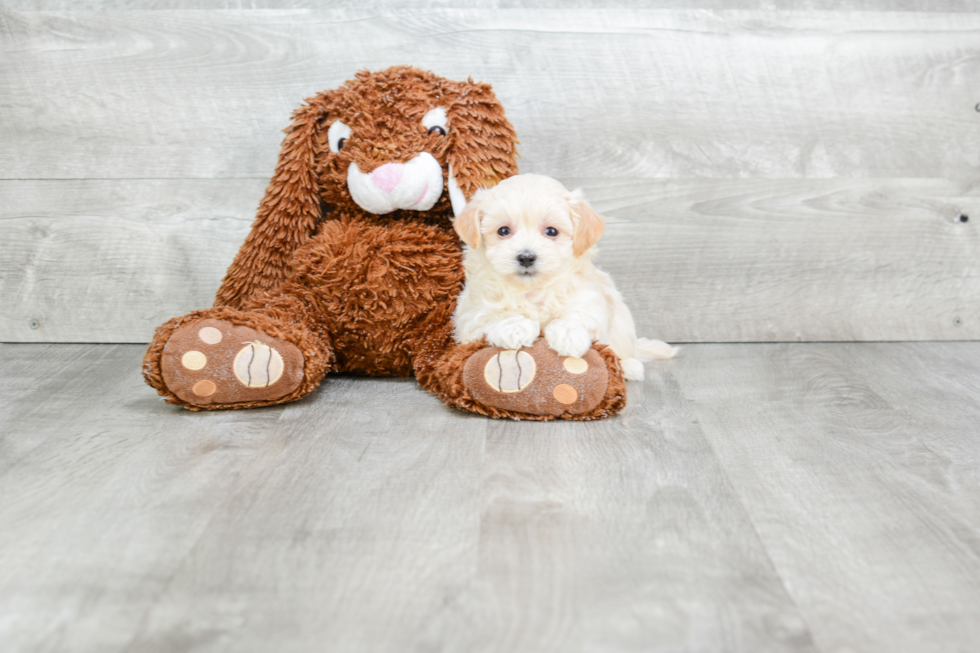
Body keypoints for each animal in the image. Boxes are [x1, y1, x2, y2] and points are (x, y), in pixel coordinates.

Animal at [452, 172, 672, 382]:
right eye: (503, 230)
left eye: (551, 231)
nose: (526, 257)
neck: (532, 290)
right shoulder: (470, 317)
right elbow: (492, 316)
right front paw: (515, 327)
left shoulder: (589, 300)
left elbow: (579, 315)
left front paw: (568, 334)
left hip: (622, 323)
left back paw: (628, 367)